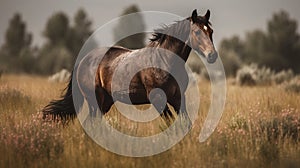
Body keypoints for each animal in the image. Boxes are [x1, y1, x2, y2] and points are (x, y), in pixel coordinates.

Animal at [42, 8, 218, 124]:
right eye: (197, 32)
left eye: (211, 31)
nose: (212, 55)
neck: (164, 61)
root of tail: (82, 61)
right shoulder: (158, 99)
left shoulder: (178, 97)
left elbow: (184, 123)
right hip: (95, 101)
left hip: (106, 102)